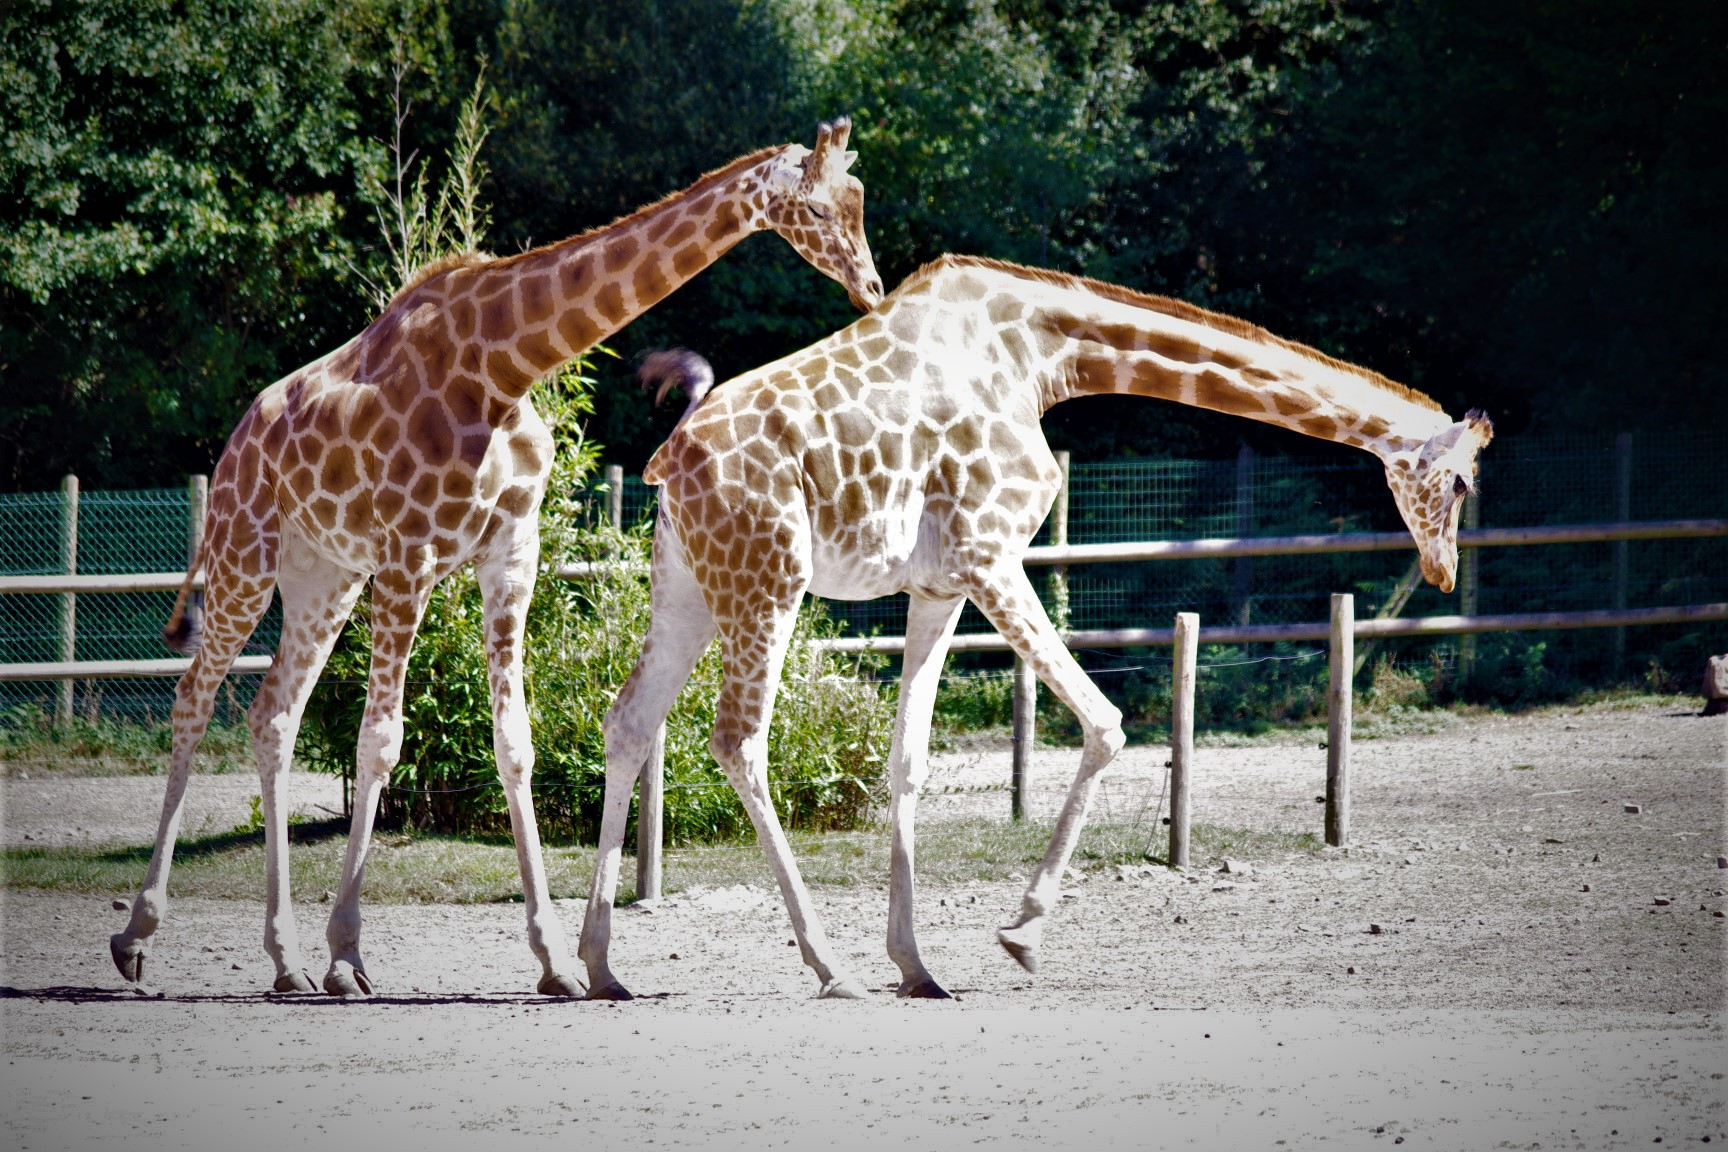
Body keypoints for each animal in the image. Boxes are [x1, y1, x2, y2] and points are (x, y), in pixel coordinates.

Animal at [114, 119, 884, 1001]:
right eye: (819, 207)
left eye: (859, 200)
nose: (871, 285)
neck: (502, 365)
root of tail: (238, 438)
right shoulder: (407, 558)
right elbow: (381, 740)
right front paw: (348, 955)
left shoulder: (510, 552)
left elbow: (515, 740)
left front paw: (555, 960)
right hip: (247, 553)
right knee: (192, 700)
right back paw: (139, 937)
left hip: (322, 577)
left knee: (272, 713)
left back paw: (284, 960)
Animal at [577, 253, 1486, 1001]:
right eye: (1461, 483)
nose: (1443, 570)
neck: (1045, 358)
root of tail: (669, 456)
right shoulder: (991, 554)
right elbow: (1106, 722)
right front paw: (1021, 933)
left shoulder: (938, 584)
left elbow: (908, 760)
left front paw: (918, 966)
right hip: (767, 578)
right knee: (738, 738)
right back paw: (827, 965)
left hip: (689, 587)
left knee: (630, 721)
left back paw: (597, 968)